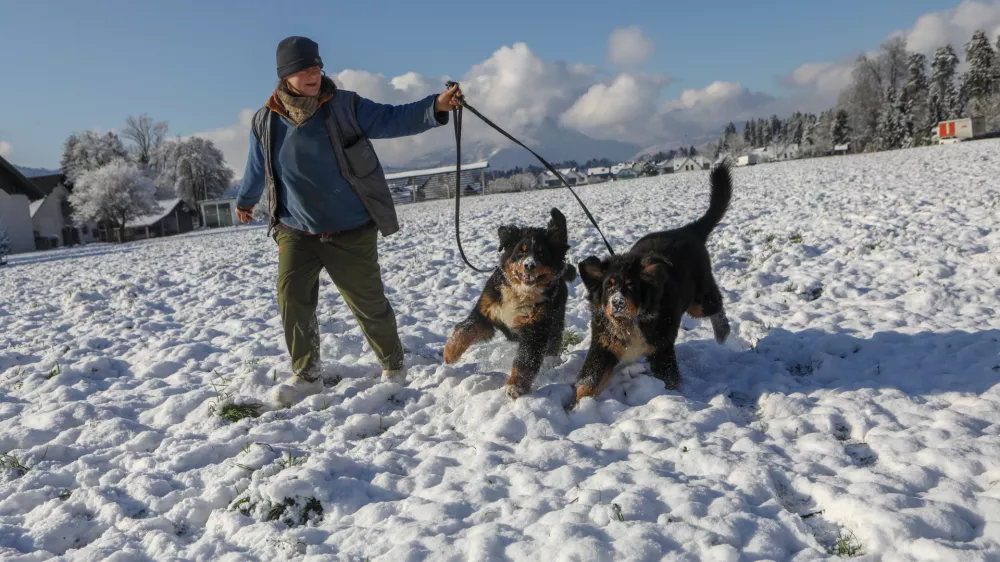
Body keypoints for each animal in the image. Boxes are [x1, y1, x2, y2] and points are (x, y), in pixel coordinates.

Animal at [446, 207, 580, 398]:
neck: (520, 292)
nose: (529, 265)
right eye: (520, 252)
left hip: (556, 319)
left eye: (541, 253)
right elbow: (466, 328)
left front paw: (515, 385)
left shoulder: (536, 327)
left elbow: (525, 359)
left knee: (554, 341)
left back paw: (550, 361)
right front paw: (450, 353)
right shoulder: (486, 309)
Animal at [576, 164, 732, 404]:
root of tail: (687, 230)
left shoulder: (661, 348)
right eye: (609, 286)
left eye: (631, 286)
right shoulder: (603, 344)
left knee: (715, 303)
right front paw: (576, 406)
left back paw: (722, 331)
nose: (617, 303)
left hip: (699, 300)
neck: (631, 322)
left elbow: (669, 379)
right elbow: (589, 380)